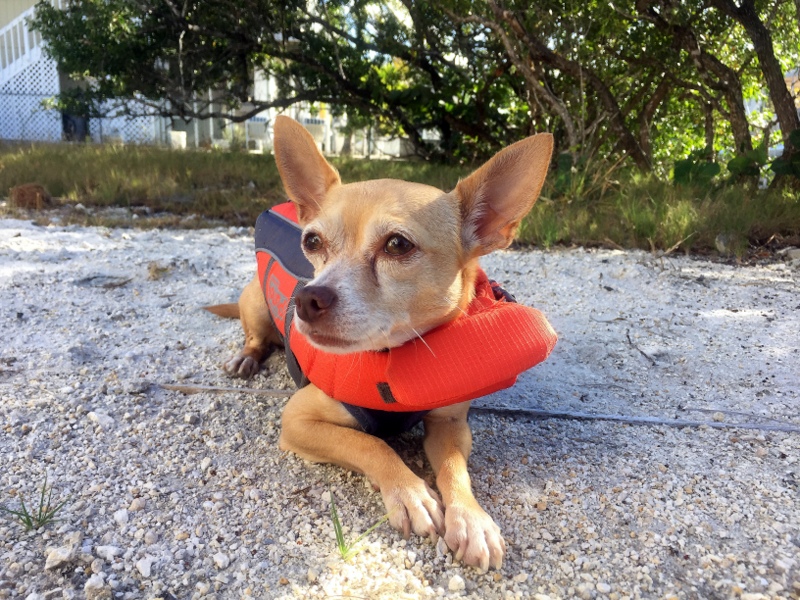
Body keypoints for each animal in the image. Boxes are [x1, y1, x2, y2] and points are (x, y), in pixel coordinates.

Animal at [220, 115, 556, 568]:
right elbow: (368, 443)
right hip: (254, 300)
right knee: (254, 336)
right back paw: (247, 357)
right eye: (312, 242)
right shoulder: (297, 421)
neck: (394, 358)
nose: (307, 298)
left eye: (397, 244)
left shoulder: (451, 424)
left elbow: (455, 468)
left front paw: (471, 519)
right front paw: (410, 492)